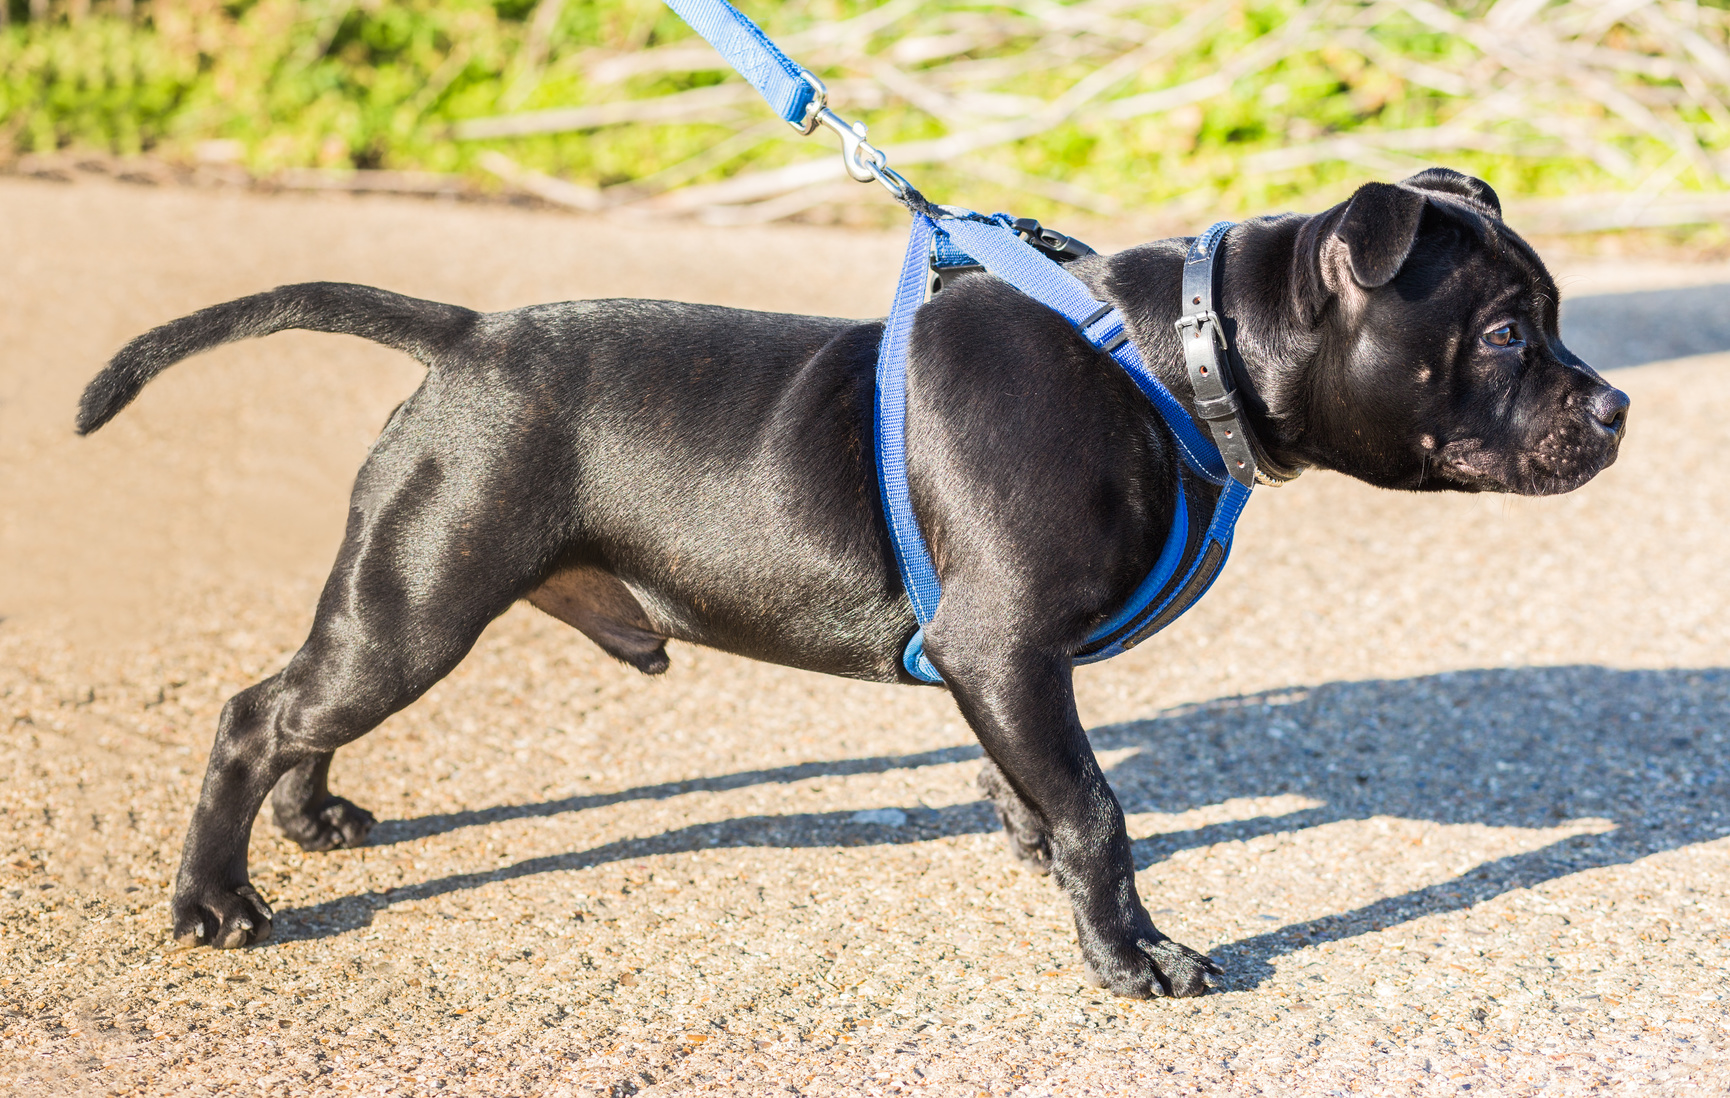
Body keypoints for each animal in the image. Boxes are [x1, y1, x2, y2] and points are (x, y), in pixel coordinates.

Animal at [77, 169, 1619, 995]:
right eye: (1501, 334)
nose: (1614, 407)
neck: (1175, 366)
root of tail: (461, 337)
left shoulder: (994, 664)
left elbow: (1040, 786)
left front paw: (1029, 846)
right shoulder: (1008, 648)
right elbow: (1100, 810)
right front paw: (1132, 958)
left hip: (403, 600)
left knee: (304, 708)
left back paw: (313, 820)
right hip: (420, 601)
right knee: (257, 710)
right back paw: (214, 899)